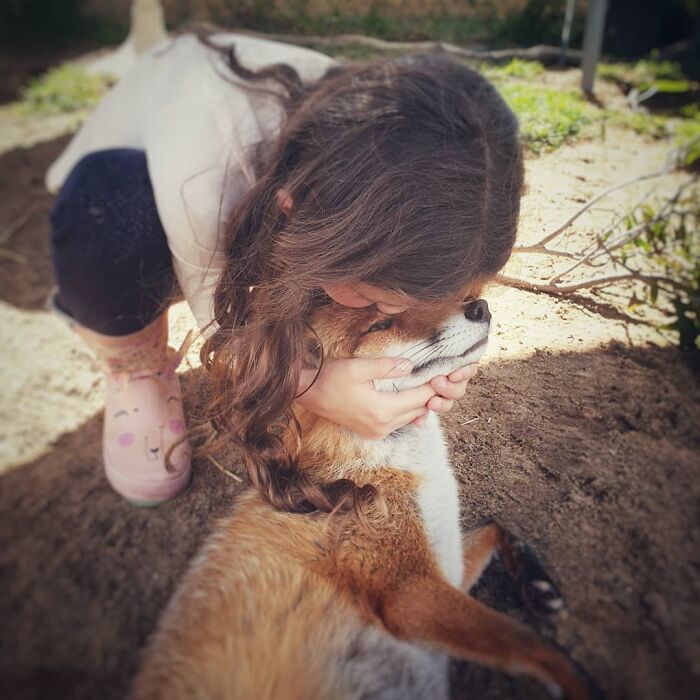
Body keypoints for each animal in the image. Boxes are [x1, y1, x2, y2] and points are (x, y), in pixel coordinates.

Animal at [129, 294, 600, 700]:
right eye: (379, 326)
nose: (479, 306)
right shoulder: (408, 592)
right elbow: (535, 645)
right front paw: (581, 683)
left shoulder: (443, 561)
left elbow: (495, 523)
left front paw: (537, 584)